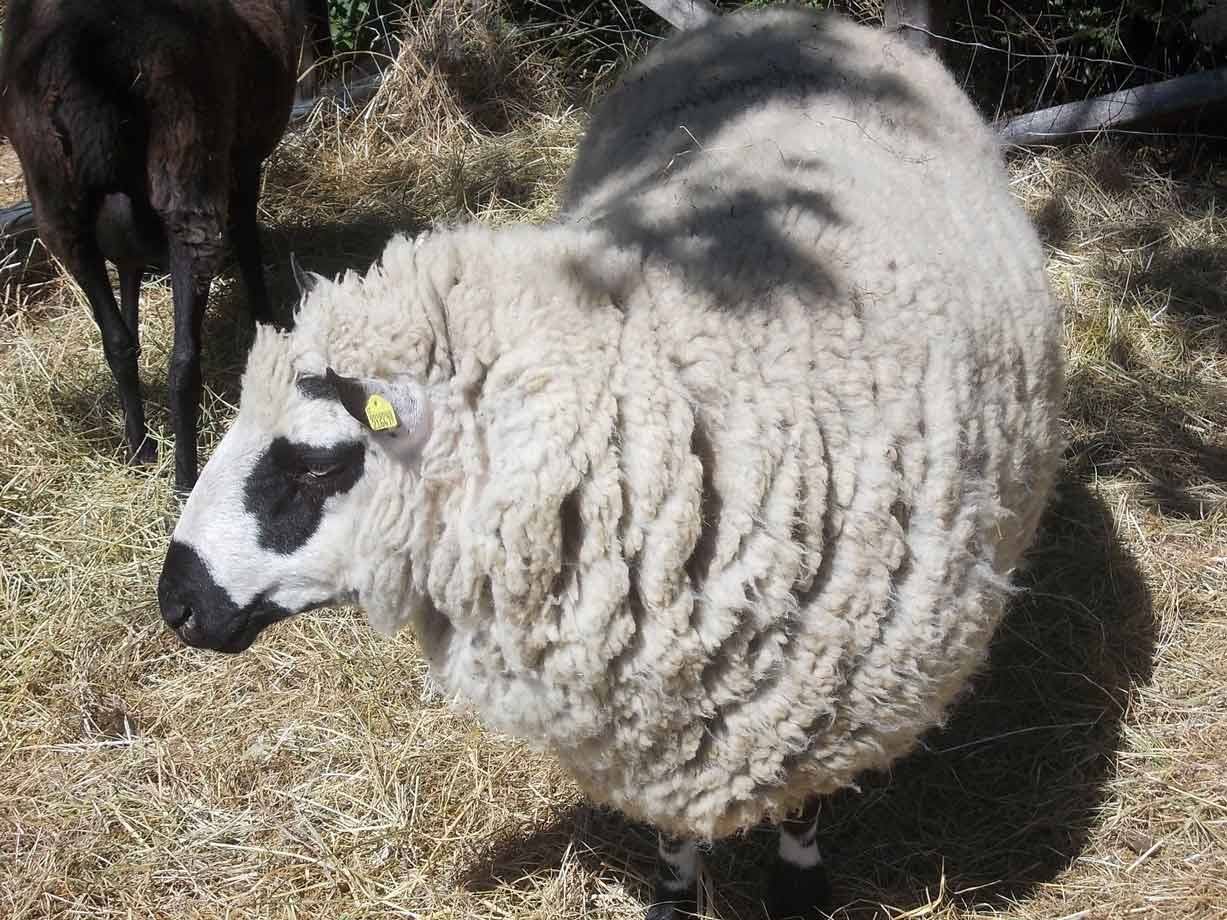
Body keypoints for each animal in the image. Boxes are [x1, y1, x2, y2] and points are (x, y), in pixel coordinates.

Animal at [0, 0, 332, 494]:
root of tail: (85, 49)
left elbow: (128, 304)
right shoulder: (245, 163)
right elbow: (248, 241)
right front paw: (264, 318)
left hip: (59, 209)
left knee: (116, 342)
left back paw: (139, 448)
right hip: (187, 176)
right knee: (183, 361)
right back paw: (185, 478)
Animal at [156, 7, 1065, 917]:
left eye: (315, 463)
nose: (176, 605)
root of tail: (785, 16)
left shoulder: (826, 689)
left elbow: (801, 806)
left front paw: (799, 885)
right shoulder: (656, 710)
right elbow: (669, 829)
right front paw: (671, 895)